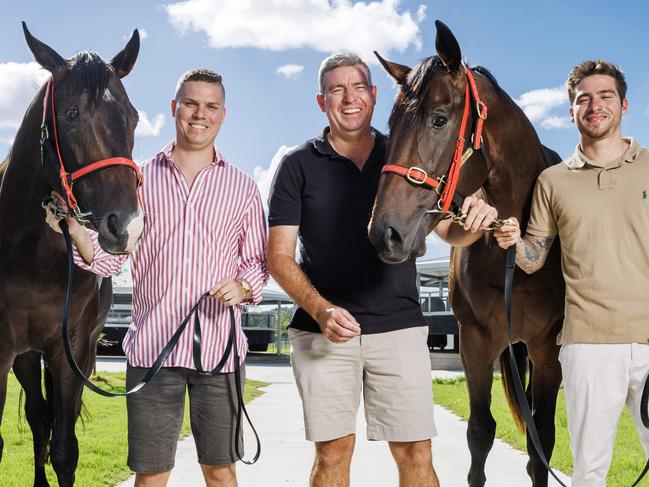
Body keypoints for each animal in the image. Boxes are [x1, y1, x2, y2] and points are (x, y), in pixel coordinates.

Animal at [0, 24, 143, 486]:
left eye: (133, 116)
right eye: (71, 113)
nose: (127, 226)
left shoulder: (74, 350)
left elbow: (65, 449)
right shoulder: (2, 349)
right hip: (26, 356)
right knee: (36, 415)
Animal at [370, 21, 568, 486]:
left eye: (439, 119)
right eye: (390, 124)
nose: (385, 233)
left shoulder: (547, 348)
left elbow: (542, 445)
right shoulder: (476, 341)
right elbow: (480, 433)